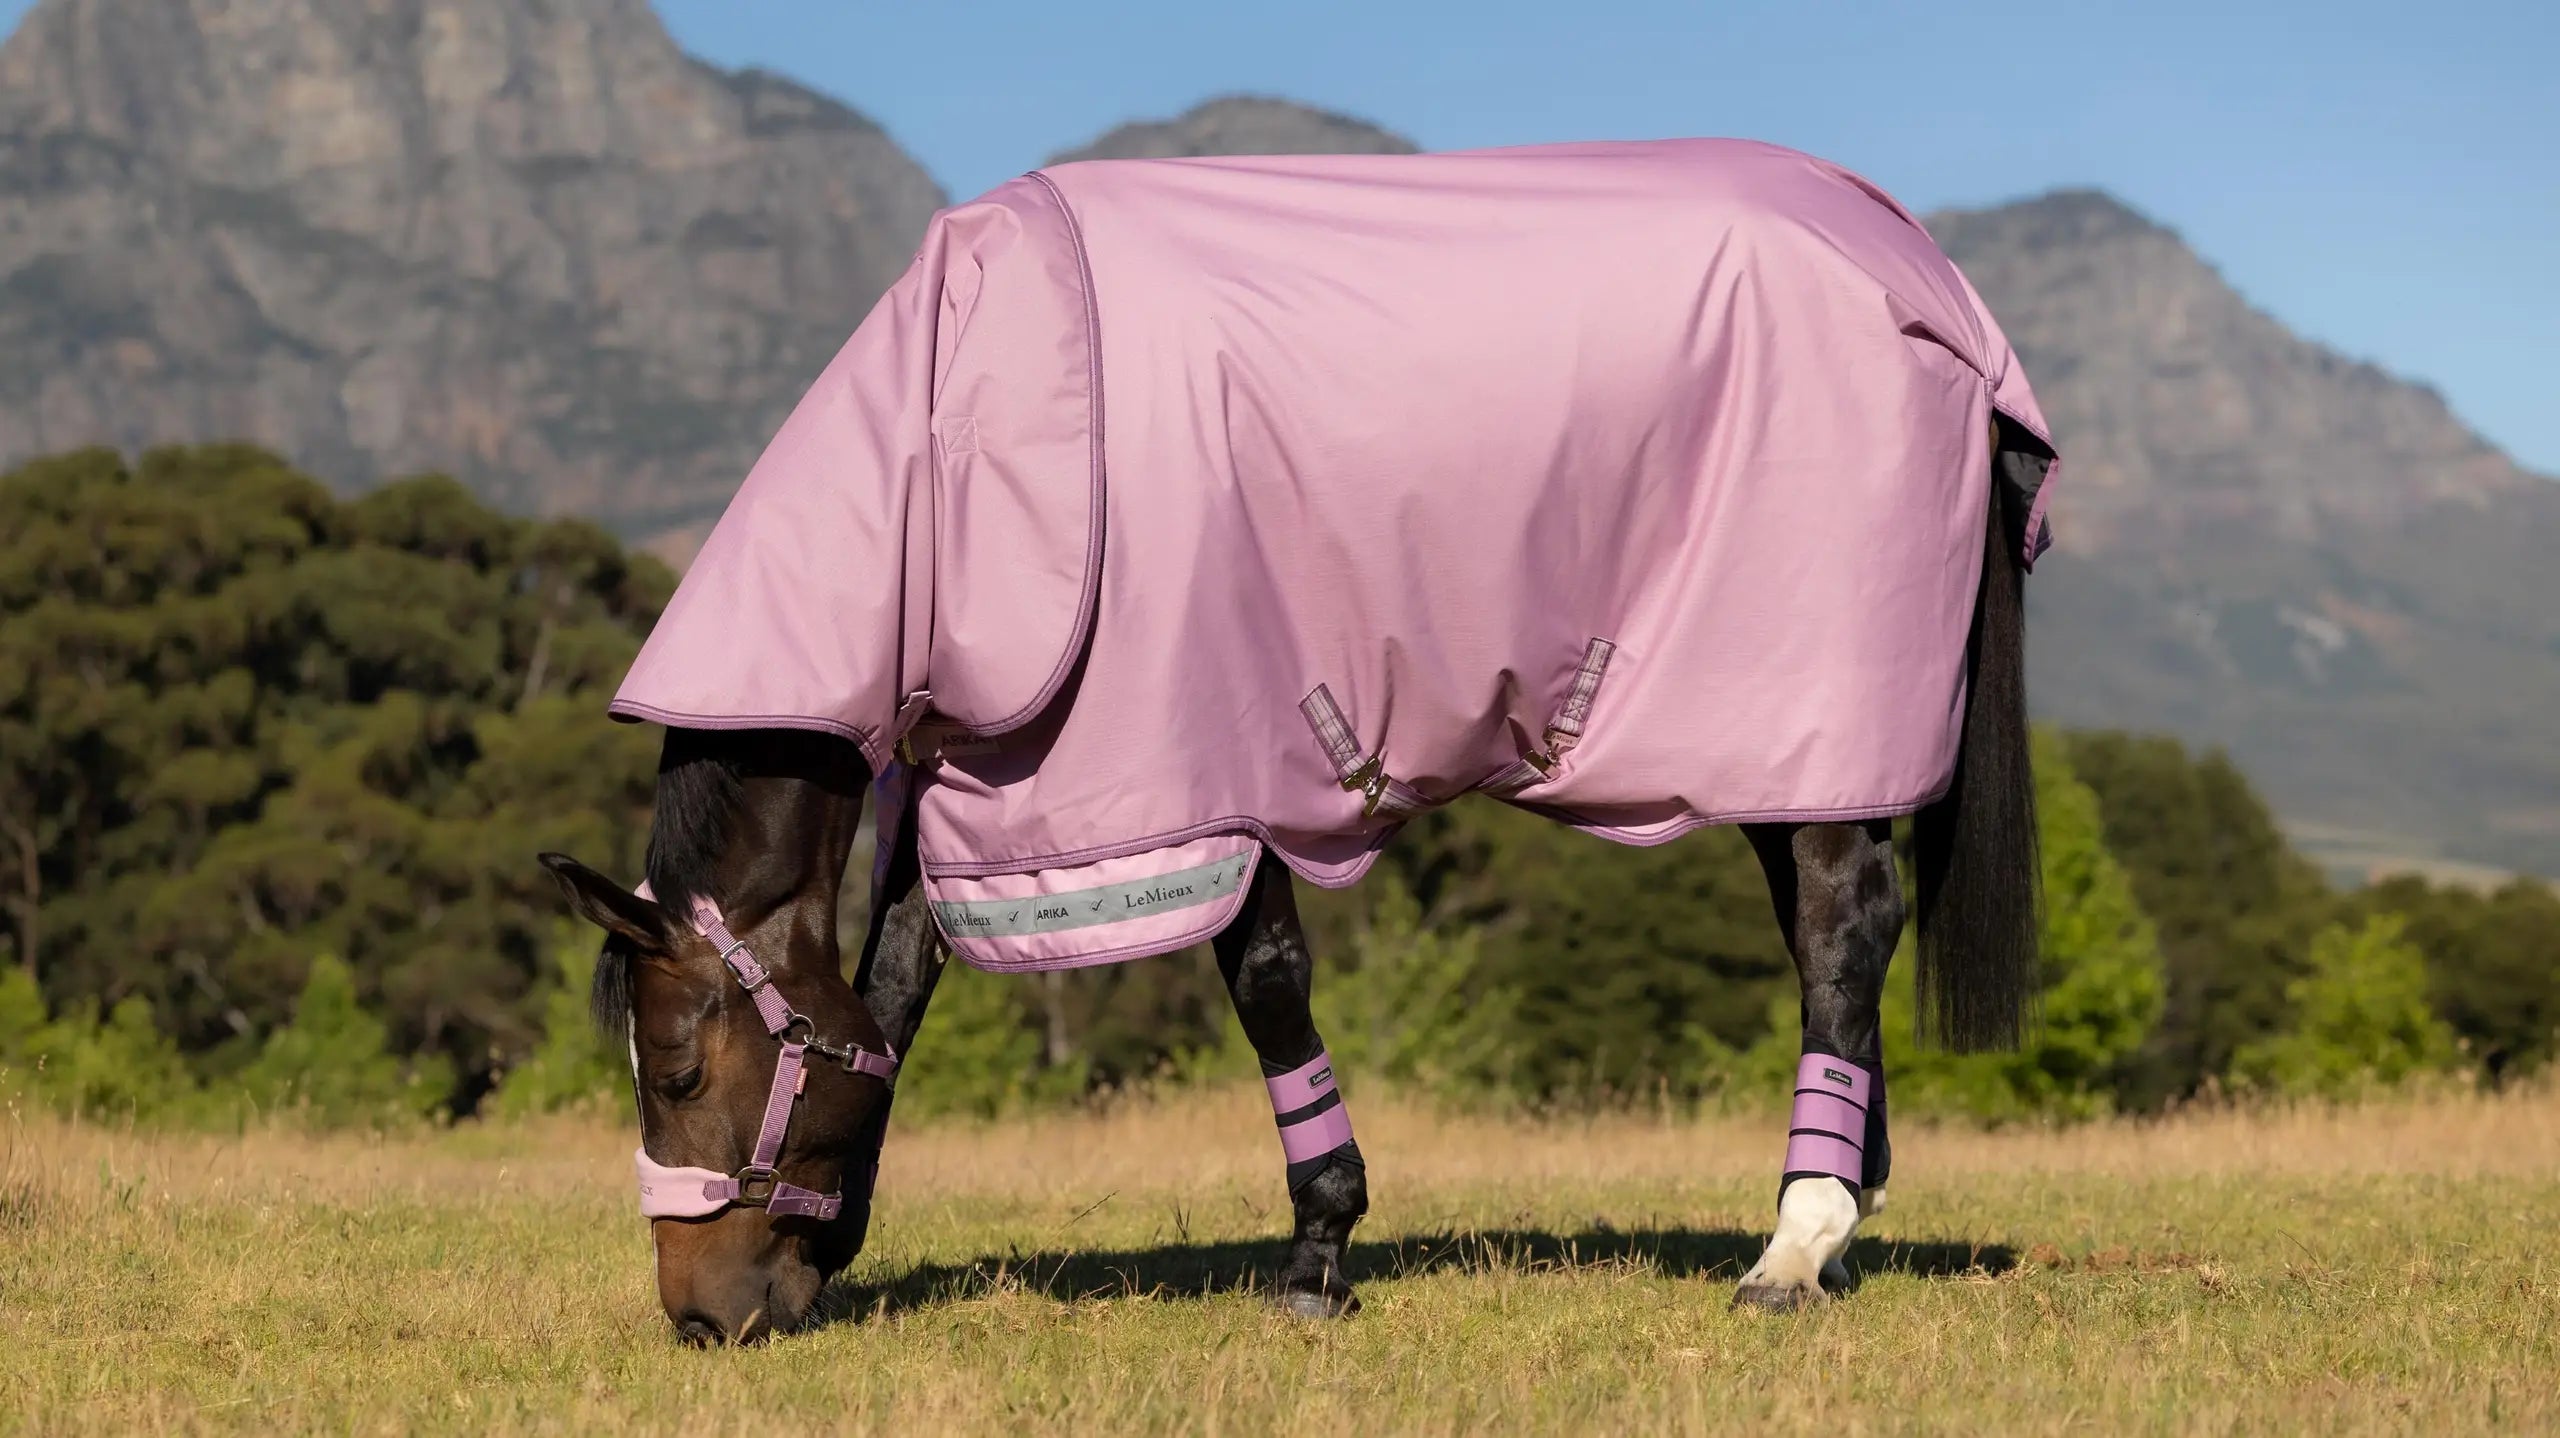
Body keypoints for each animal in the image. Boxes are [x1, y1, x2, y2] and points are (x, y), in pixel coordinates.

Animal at [541, 136, 2055, 1343]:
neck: (966, 425)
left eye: (677, 1069)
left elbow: (1265, 983)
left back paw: (1796, 1243)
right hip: (1784, 752)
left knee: (1847, 920)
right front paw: (838, 1238)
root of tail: (1938, 292)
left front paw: (1320, 1250)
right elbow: (894, 985)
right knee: (1822, 932)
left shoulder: (1206, 777)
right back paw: (1839, 1211)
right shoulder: (977, 789)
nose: (705, 1315)